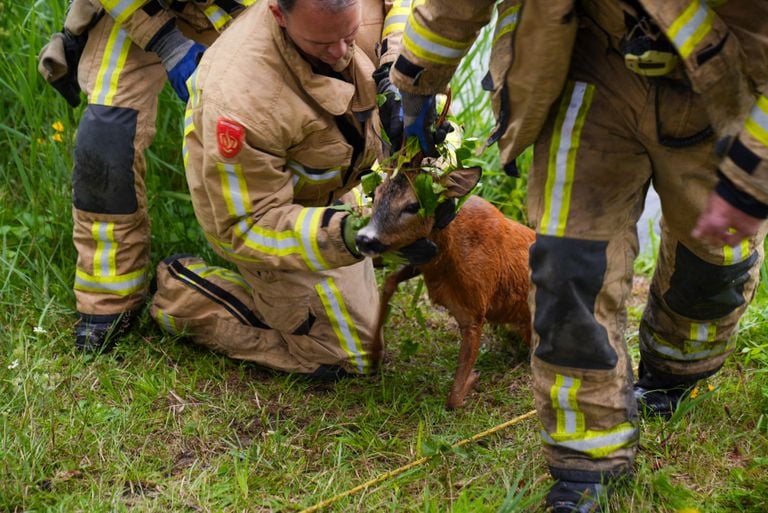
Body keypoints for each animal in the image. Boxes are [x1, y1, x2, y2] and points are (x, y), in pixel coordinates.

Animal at [356, 167, 532, 408]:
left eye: (413, 206)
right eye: (375, 194)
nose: (364, 239)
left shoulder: (476, 309)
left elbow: (453, 399)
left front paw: (473, 377)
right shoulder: (425, 264)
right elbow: (389, 283)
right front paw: (373, 354)